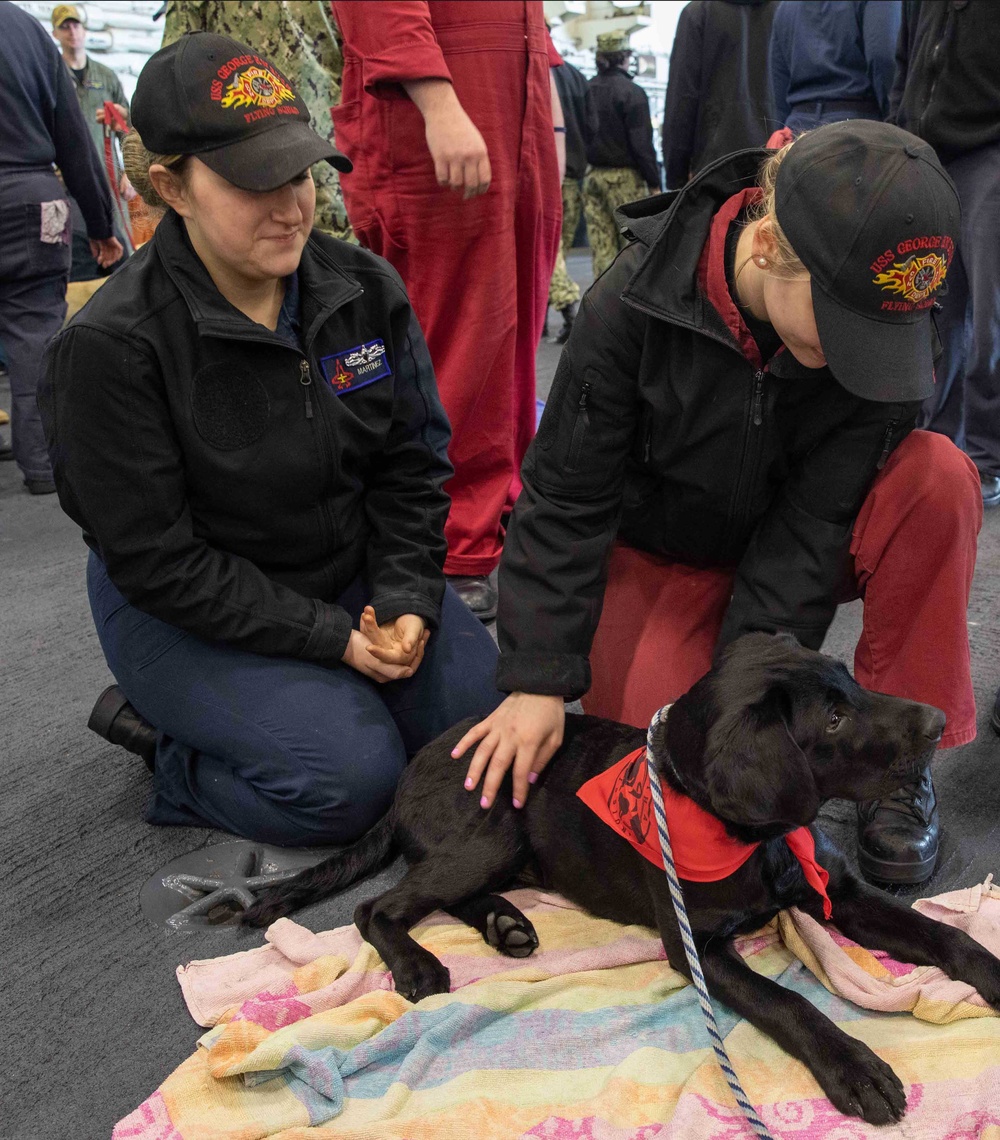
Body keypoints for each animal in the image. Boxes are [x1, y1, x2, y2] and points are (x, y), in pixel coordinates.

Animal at [244, 638, 998, 1126]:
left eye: (852, 680)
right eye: (834, 718)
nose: (939, 722)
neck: (748, 840)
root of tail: (408, 773)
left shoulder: (838, 892)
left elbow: (942, 935)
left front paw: (988, 970)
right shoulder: (699, 950)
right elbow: (789, 1004)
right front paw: (854, 1067)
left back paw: (505, 924)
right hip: (492, 830)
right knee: (379, 905)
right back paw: (420, 964)